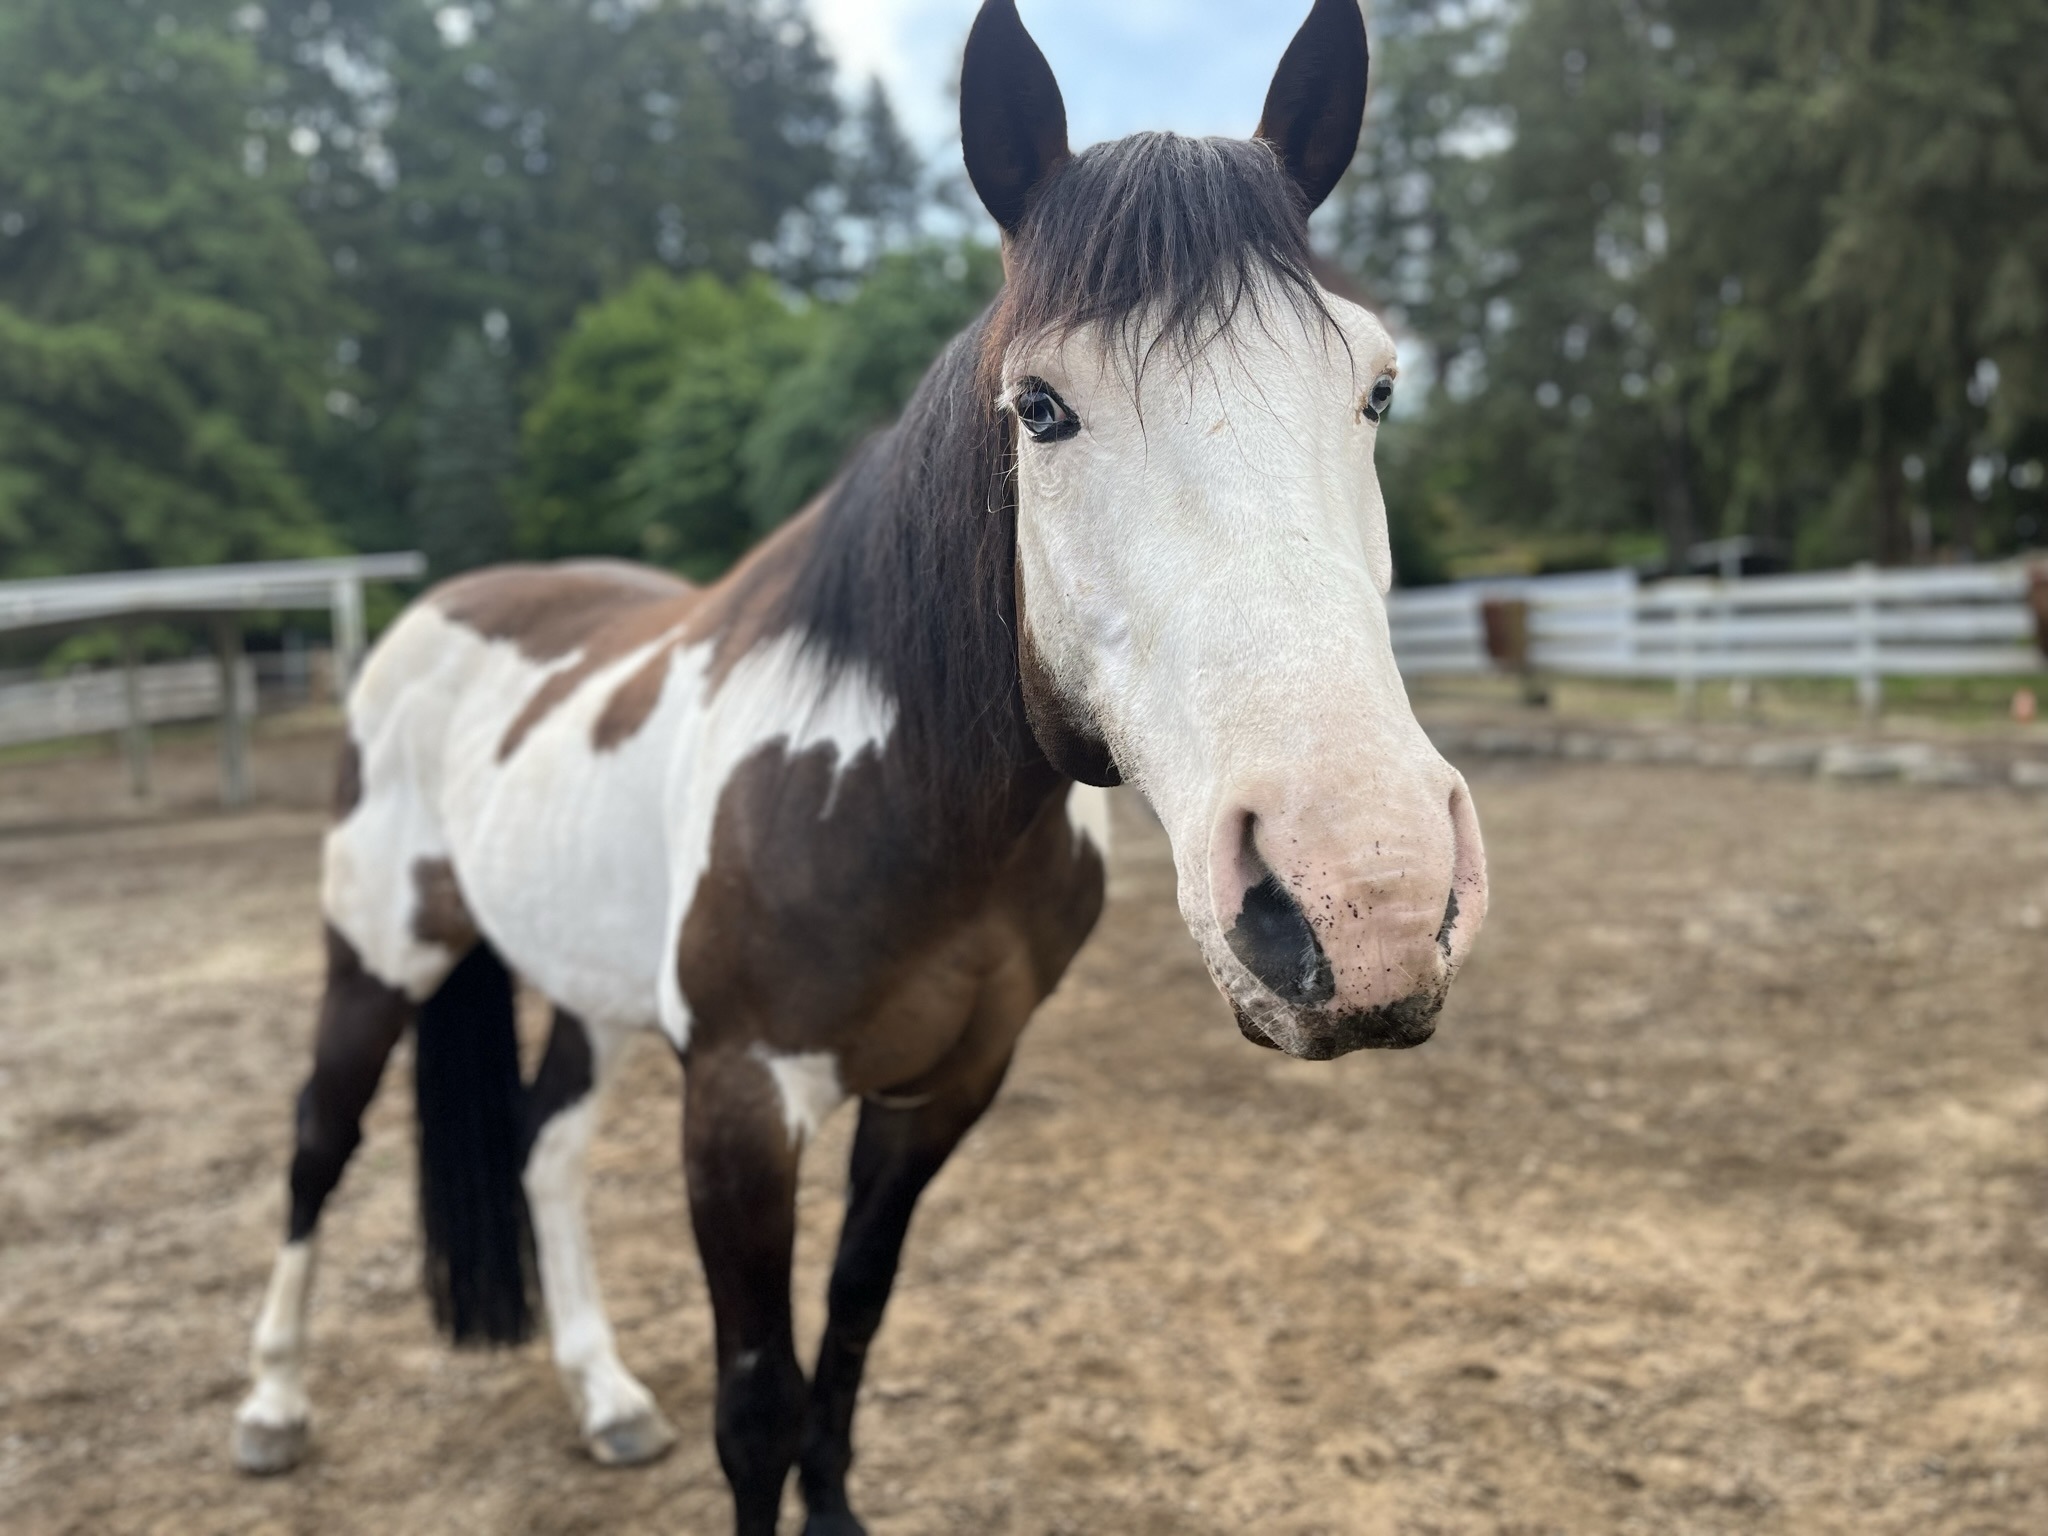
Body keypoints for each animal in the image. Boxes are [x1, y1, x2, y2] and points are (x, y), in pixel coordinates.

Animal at [232, 6, 1490, 1531]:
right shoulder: (738, 1105)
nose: (1364, 898)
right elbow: (757, 1403)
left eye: (1375, 387)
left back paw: (602, 1396)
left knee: (544, 1152)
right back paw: (272, 1406)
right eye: (1041, 407)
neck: (901, 804)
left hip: (578, 984)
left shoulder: (942, 1092)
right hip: (377, 958)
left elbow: (852, 1324)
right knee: (316, 1144)